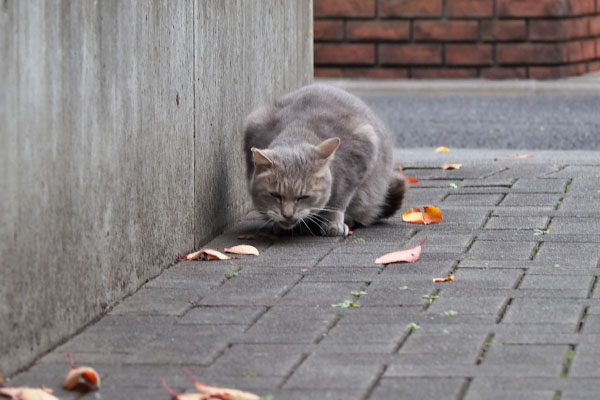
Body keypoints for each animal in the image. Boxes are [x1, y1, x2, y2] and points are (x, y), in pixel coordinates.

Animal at [241, 83, 406, 236]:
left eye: (303, 197)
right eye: (275, 195)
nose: (288, 215)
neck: (299, 129)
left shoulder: (359, 158)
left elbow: (340, 201)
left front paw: (333, 223)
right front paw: (276, 224)